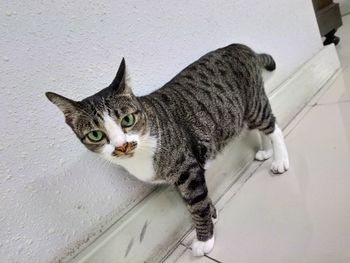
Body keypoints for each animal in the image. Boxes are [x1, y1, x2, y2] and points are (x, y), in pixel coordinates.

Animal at [46, 43, 288, 258]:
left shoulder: (188, 170)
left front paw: (204, 239)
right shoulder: (185, 175)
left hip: (253, 103)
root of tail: (241, 47)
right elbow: (200, 200)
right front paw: (213, 215)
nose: (122, 145)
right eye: (96, 135)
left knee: (272, 126)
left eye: (127, 120)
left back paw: (279, 160)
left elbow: (197, 205)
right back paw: (266, 151)